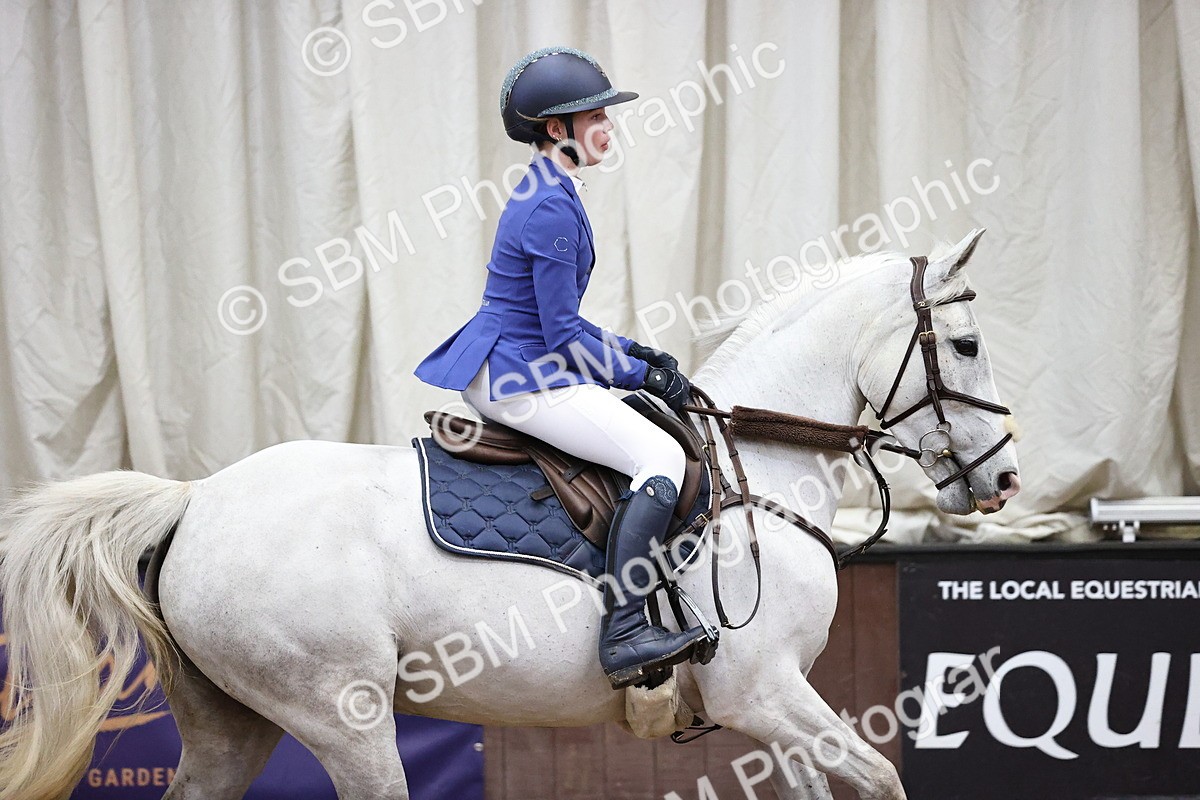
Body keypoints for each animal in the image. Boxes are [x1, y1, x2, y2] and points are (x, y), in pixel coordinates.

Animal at [0, 229, 1020, 800]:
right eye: (968, 344)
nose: (1005, 480)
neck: (755, 469)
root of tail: (195, 500)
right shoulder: (762, 692)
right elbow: (884, 776)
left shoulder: (771, 708)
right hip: (346, 718)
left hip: (231, 726)